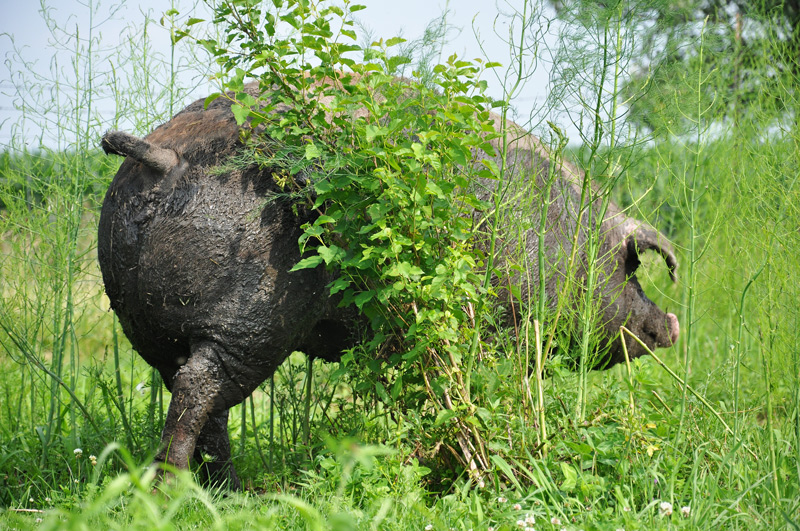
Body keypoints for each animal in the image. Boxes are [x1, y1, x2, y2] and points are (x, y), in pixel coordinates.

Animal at [98, 81, 679, 489]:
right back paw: (173, 492)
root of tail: (162, 157)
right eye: (632, 270)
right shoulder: (503, 329)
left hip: (147, 325)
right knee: (200, 389)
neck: (569, 243)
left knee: (194, 395)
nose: (671, 325)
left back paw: (227, 494)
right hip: (252, 319)